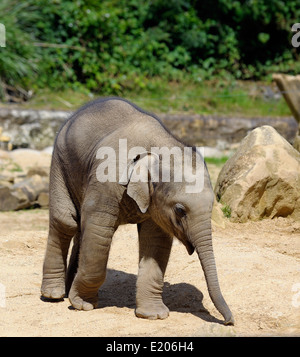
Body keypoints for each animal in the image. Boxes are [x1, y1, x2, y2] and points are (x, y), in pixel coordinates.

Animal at [39, 96, 233, 324]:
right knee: (67, 222)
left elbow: (155, 241)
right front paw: (82, 305)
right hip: (60, 161)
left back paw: (68, 288)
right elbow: (98, 231)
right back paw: (54, 295)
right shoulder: (106, 181)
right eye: (180, 210)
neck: (160, 146)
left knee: (79, 229)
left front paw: (154, 315)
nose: (229, 321)